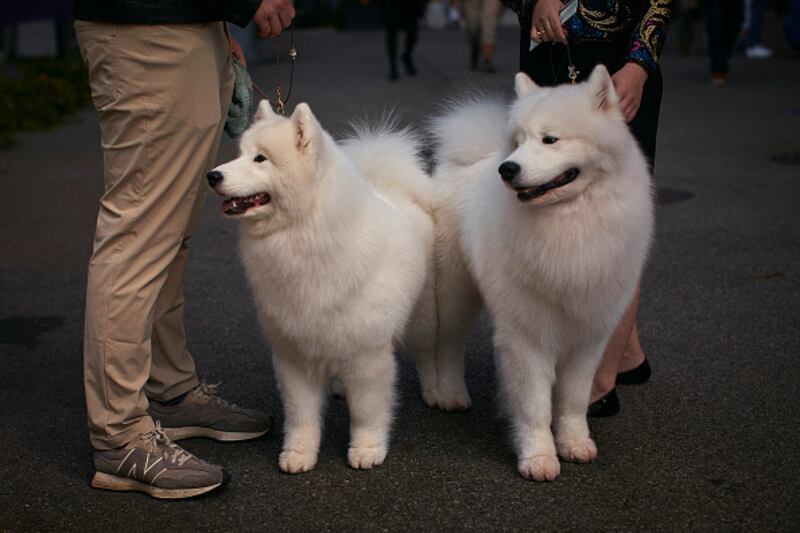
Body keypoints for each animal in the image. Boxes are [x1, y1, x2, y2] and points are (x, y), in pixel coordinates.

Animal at [208, 102, 438, 472]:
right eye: (239, 154)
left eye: (261, 159)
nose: (212, 176)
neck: (304, 235)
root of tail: (395, 189)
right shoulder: (294, 354)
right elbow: (301, 414)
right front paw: (299, 453)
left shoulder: (368, 355)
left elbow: (367, 410)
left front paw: (367, 449)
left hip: (423, 317)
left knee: (431, 350)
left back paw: (439, 390)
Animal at [434, 67, 652, 482]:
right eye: (519, 143)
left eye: (550, 139)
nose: (508, 168)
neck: (568, 222)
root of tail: (473, 161)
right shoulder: (527, 333)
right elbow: (535, 404)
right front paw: (538, 457)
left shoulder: (589, 333)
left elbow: (573, 398)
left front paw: (575, 443)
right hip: (453, 294)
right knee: (444, 344)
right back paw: (446, 393)